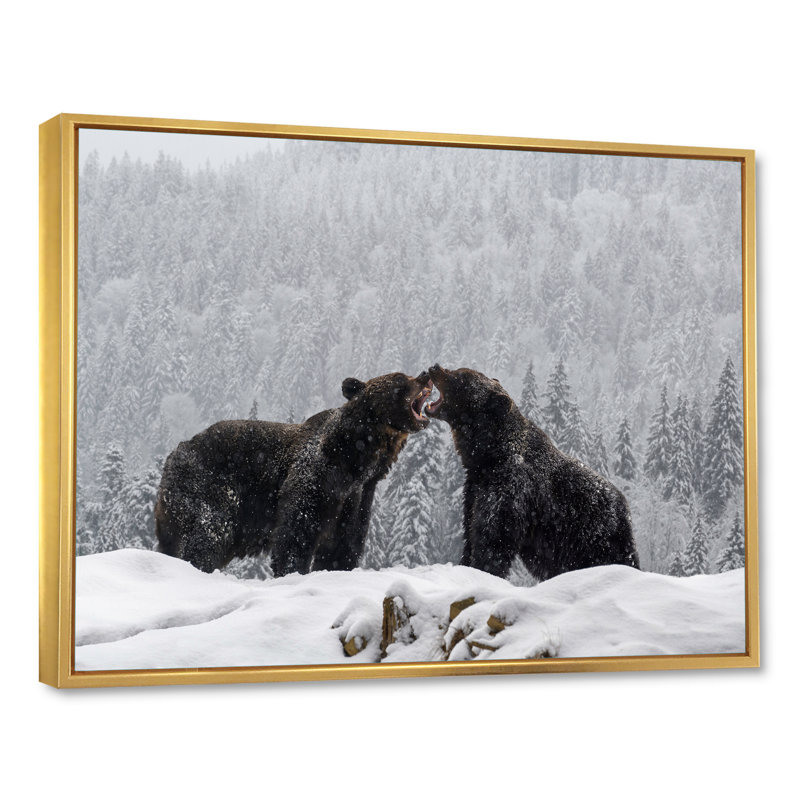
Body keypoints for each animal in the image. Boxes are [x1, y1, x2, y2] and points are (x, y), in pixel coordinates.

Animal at [155, 371, 433, 576]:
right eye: (401, 379)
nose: (425, 375)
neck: (357, 459)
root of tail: (173, 454)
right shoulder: (317, 476)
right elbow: (297, 530)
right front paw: (292, 570)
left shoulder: (359, 496)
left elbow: (344, 544)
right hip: (209, 485)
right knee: (209, 531)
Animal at [425, 364, 639, 581]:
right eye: (459, 370)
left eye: (461, 376)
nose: (435, 367)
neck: (489, 454)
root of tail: (625, 508)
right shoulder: (475, 488)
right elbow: (471, 530)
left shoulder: (511, 488)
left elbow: (493, 538)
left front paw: (484, 570)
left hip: (594, 536)